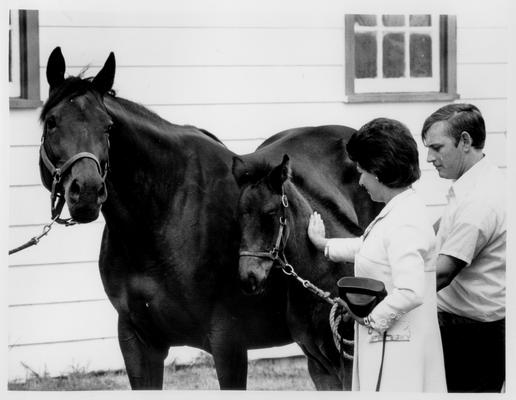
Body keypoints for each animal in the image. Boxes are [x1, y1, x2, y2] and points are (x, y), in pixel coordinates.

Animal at [232, 126, 380, 390]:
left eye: (271, 213)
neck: (326, 281)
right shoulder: (318, 367)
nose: (249, 278)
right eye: (239, 216)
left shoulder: (348, 365)